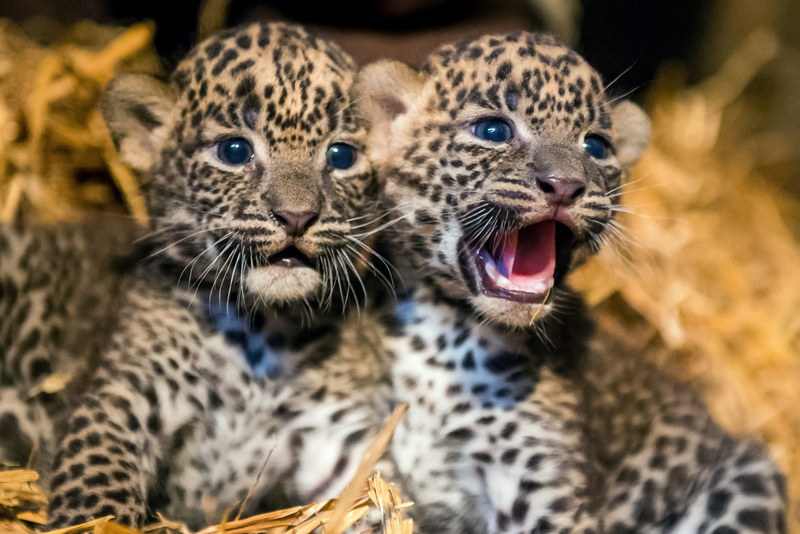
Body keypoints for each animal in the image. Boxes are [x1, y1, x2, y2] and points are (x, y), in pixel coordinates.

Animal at [345, 31, 787, 533]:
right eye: (493, 131)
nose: (564, 185)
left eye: (596, 146)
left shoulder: (537, 489)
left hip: (749, 477)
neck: (443, 342)